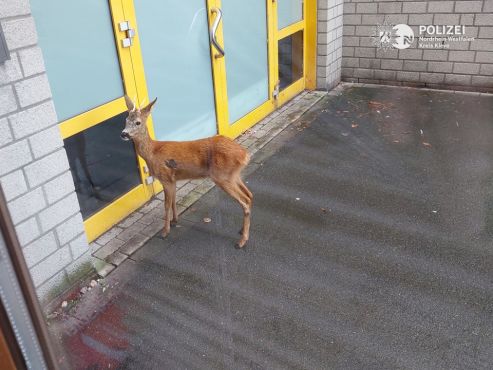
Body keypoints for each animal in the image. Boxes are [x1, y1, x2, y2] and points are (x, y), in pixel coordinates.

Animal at [120, 95, 254, 249]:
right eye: (126, 120)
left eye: (138, 122)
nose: (123, 134)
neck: (152, 152)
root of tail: (244, 154)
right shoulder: (173, 180)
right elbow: (173, 200)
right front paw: (174, 221)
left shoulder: (165, 178)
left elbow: (166, 205)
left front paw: (165, 231)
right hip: (233, 175)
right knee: (249, 195)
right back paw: (241, 230)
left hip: (222, 176)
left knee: (245, 201)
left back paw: (242, 241)